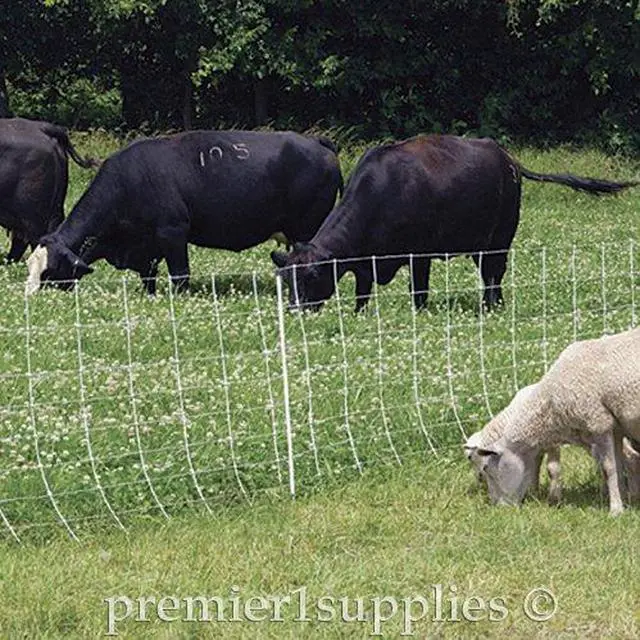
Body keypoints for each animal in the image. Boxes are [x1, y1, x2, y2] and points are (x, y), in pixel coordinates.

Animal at [464, 327, 640, 515]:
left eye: (487, 468)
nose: (499, 509)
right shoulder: (615, 428)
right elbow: (618, 466)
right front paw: (624, 502)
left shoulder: (599, 422)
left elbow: (609, 468)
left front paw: (615, 510)